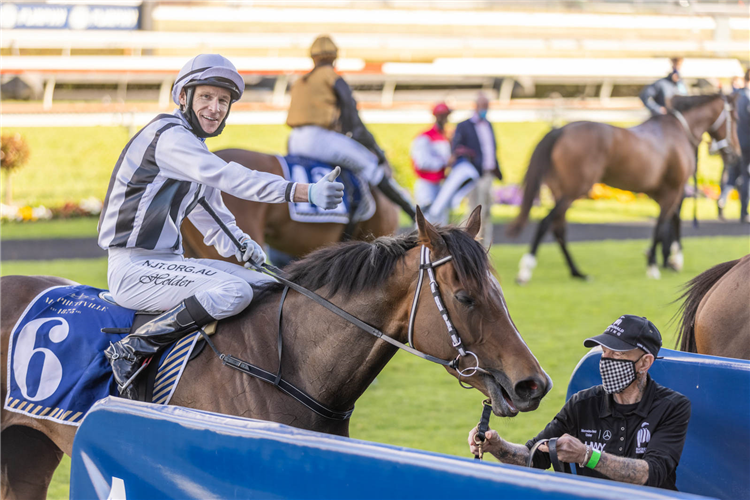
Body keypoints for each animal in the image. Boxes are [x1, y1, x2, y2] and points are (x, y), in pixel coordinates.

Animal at [508, 91, 744, 284]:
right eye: (735, 118)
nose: (735, 154)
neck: (678, 131)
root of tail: (560, 130)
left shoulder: (664, 192)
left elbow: (672, 221)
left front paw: (673, 260)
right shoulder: (672, 191)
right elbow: (662, 225)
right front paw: (654, 266)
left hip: (560, 191)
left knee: (559, 230)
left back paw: (577, 273)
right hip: (573, 191)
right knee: (546, 223)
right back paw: (525, 271)